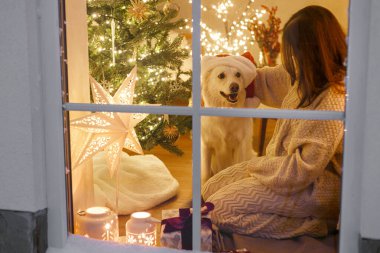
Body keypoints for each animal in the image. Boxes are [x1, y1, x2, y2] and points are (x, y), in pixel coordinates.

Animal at [200, 55, 260, 184]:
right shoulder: (206, 146)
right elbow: (205, 175)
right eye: (221, 75)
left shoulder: (239, 146)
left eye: (238, 74)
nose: (235, 87)